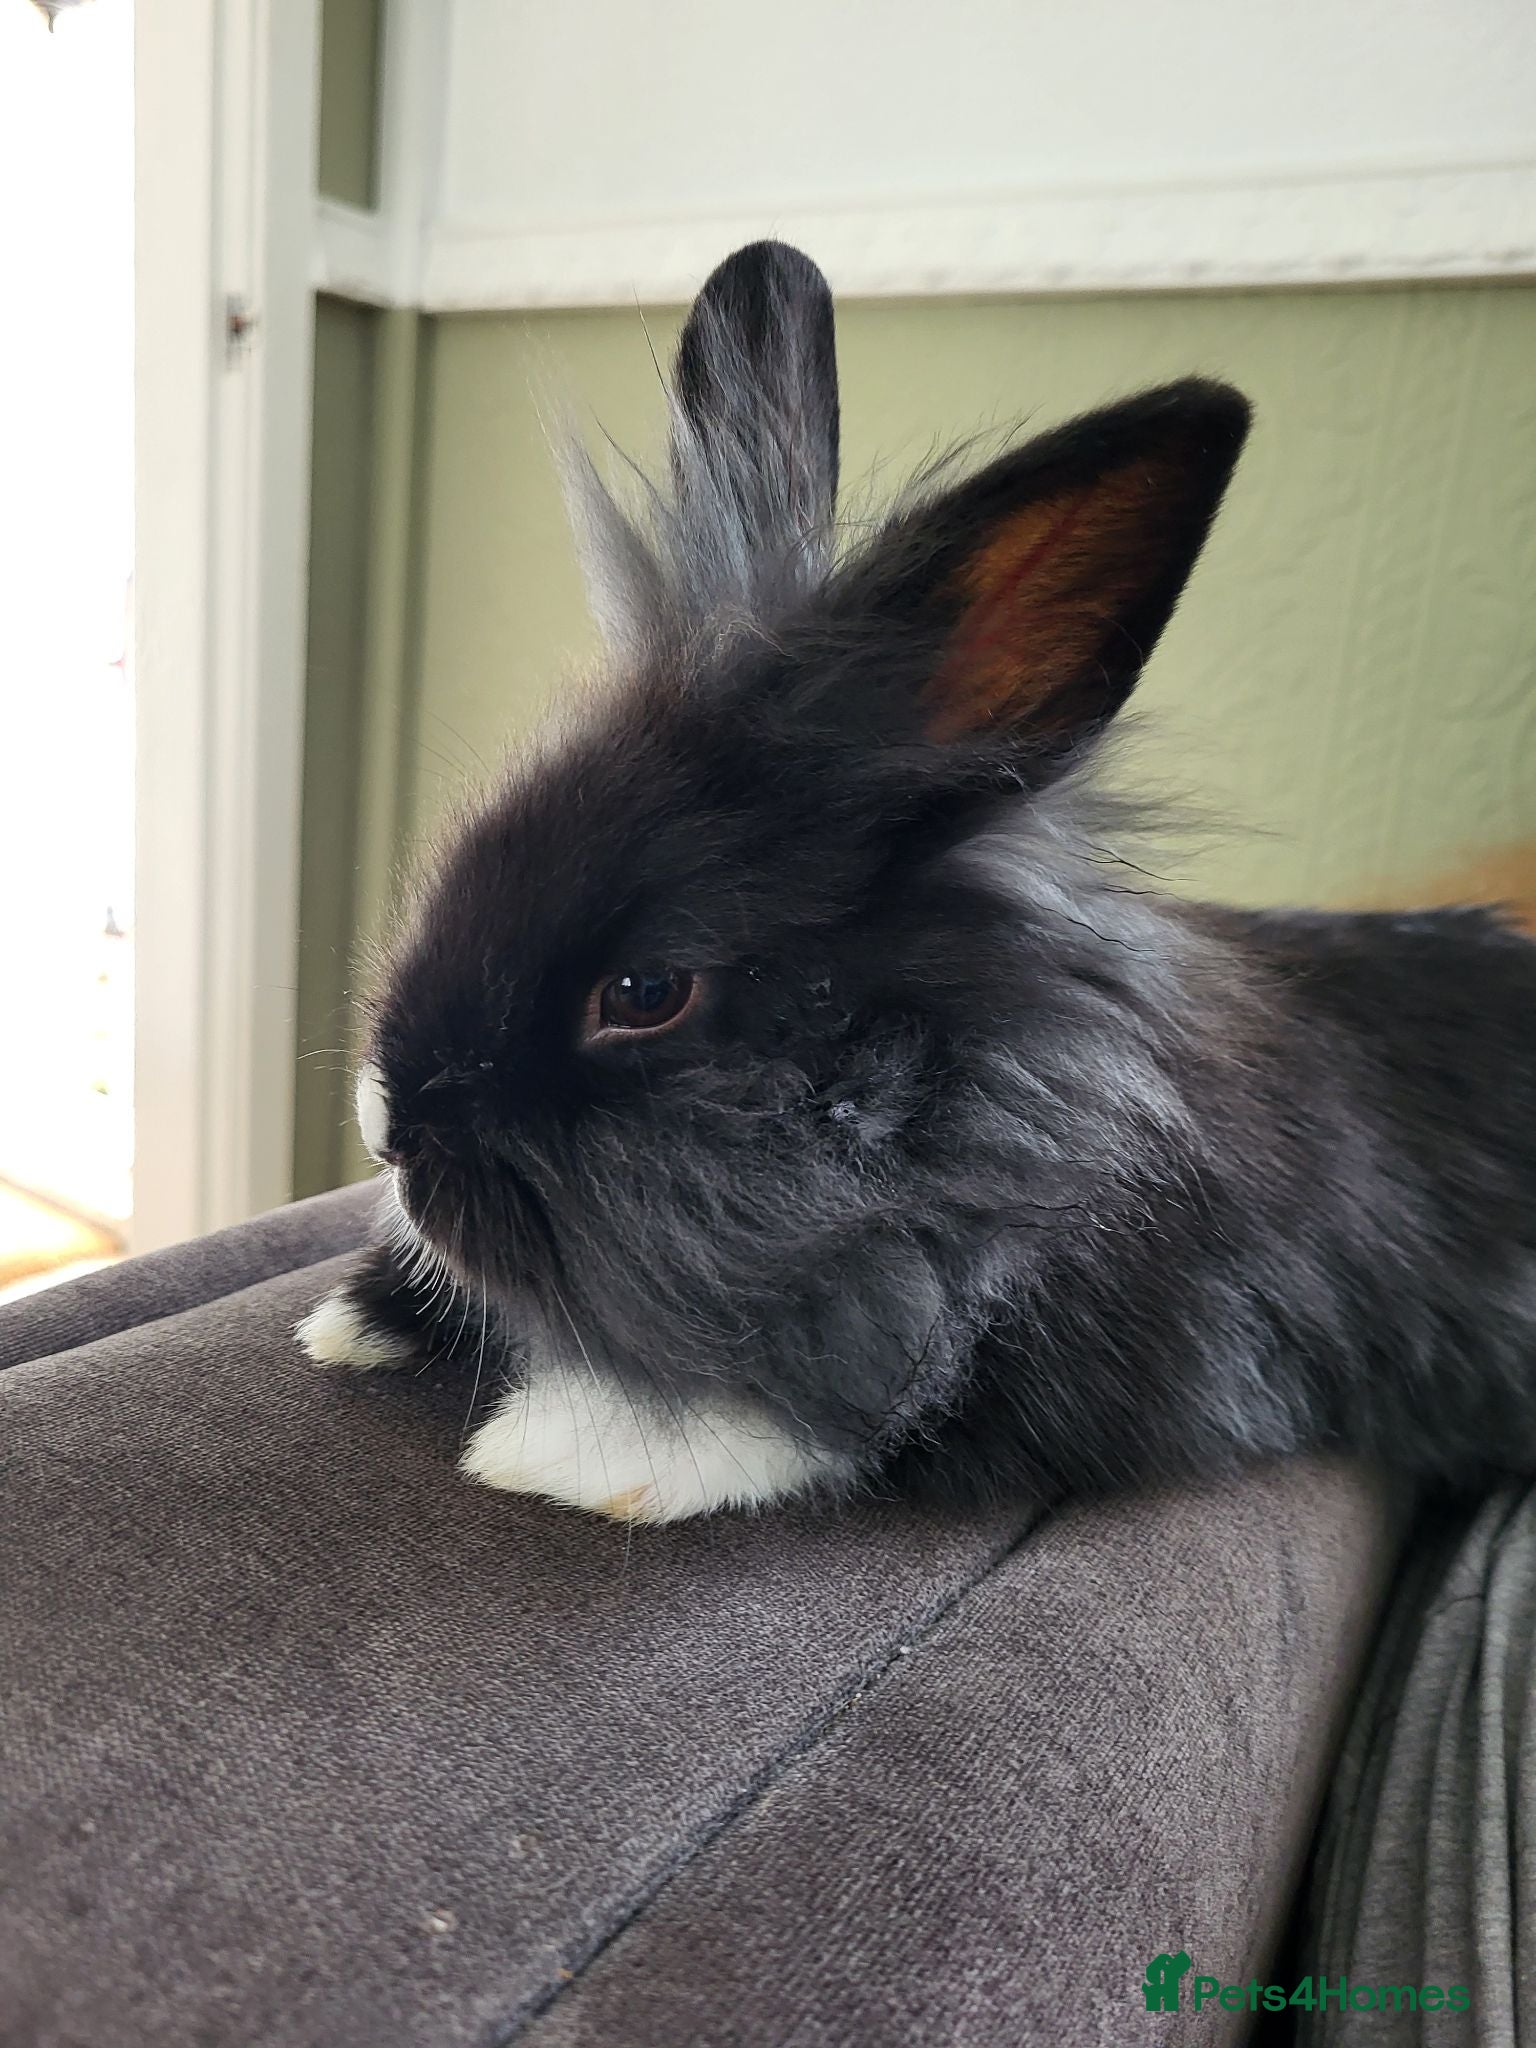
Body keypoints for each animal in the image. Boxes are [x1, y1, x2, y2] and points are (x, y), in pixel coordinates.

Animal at [298, 240, 1536, 1525]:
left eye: (645, 992)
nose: (386, 1124)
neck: (982, 1093)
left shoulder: (1150, 1351)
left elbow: (884, 1401)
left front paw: (559, 1449)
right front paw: (356, 1317)